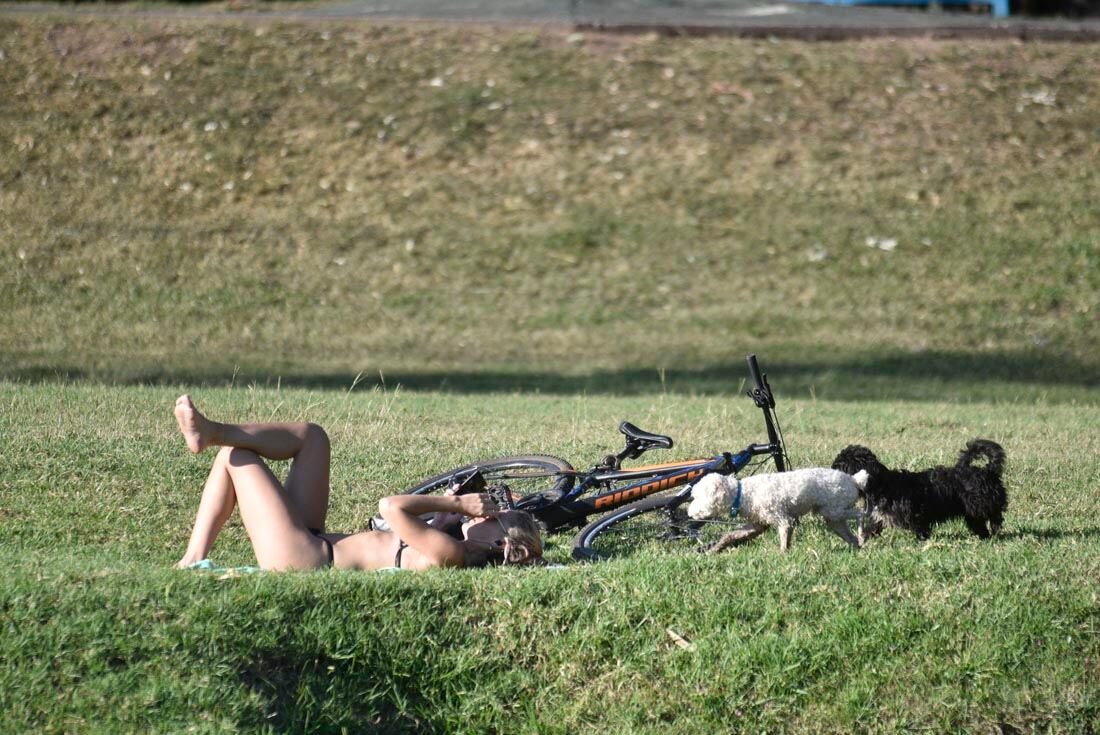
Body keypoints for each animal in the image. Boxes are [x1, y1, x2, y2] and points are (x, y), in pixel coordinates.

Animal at [686, 470, 866, 550]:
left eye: (698, 497)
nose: (689, 513)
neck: (743, 494)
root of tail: (853, 479)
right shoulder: (757, 524)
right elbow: (729, 536)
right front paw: (714, 550)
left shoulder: (783, 520)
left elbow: (784, 541)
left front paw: (782, 556)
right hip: (834, 519)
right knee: (850, 536)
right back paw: (857, 547)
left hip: (834, 511)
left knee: (861, 513)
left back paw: (862, 535)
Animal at [831, 440, 1007, 543]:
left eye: (841, 467)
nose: (830, 470)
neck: (882, 485)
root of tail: (988, 471)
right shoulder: (879, 518)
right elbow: (871, 529)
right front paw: (862, 542)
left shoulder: (917, 515)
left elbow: (921, 529)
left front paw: (922, 541)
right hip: (972, 513)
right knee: (980, 524)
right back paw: (985, 537)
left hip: (981, 503)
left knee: (995, 514)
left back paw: (995, 528)